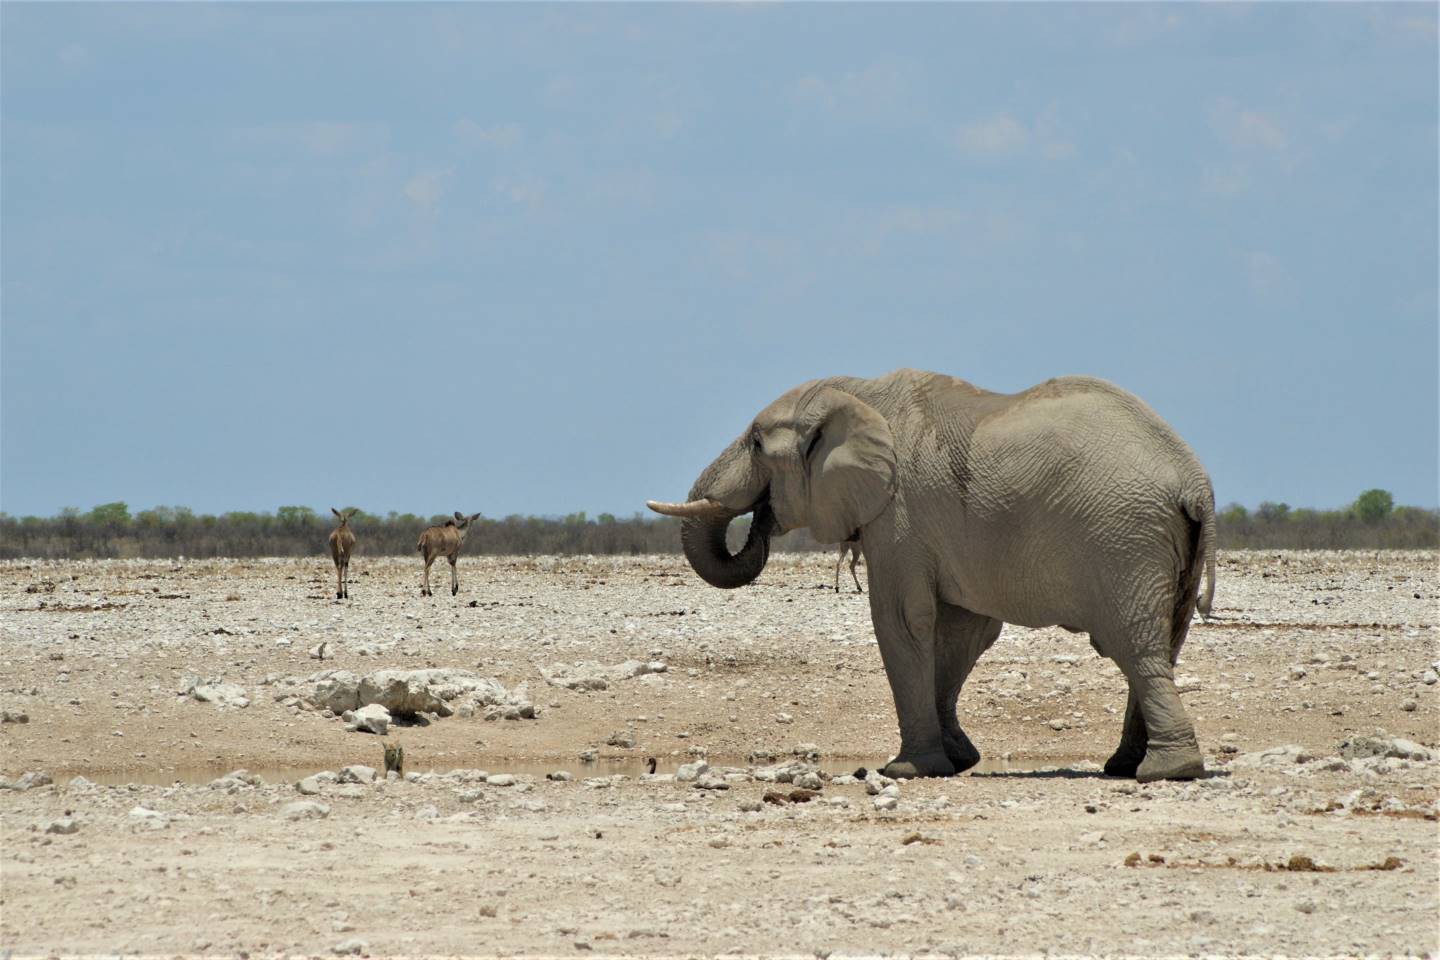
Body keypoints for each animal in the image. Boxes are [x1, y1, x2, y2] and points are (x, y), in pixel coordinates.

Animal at [653, 368, 1215, 782]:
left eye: (753, 442)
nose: (763, 518)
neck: (855, 392)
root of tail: (1193, 480)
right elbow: (961, 633)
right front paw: (959, 761)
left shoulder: (899, 513)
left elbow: (902, 619)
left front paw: (906, 770)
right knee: (1166, 641)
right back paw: (1126, 767)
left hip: (1124, 538)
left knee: (1134, 645)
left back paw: (1165, 771)